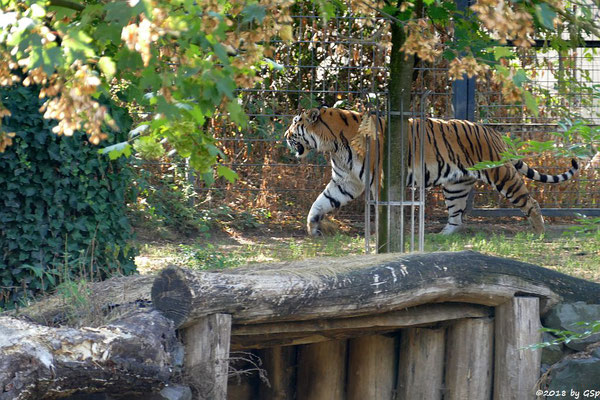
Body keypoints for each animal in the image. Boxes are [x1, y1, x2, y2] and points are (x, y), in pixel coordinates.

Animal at [284, 107, 580, 238]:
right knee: (456, 216)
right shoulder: (345, 181)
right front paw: (312, 229)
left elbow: (382, 209)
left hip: (501, 174)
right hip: (456, 185)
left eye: (295, 124)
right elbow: (320, 203)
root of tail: (491, 130)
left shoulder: (378, 180)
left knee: (529, 201)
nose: (285, 136)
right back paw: (442, 236)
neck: (333, 144)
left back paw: (539, 232)